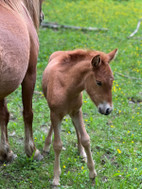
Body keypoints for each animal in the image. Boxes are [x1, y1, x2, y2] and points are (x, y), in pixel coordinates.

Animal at [0, 0, 43, 162]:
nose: (42, 17)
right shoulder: (30, 74)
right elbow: (28, 113)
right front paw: (32, 150)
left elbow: (4, 115)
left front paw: (6, 152)